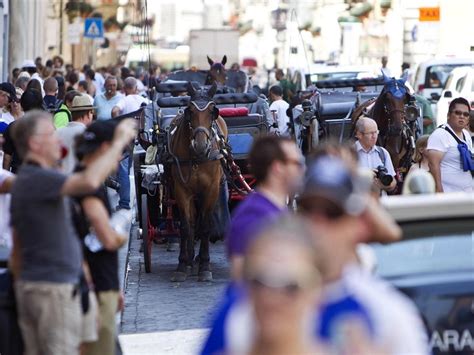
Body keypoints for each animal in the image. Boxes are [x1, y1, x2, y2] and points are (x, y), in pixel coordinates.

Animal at [168, 82, 228, 282]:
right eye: (190, 111)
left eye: (212, 111)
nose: (201, 146)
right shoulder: (181, 191)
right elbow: (186, 227)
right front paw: (181, 265)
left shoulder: (211, 190)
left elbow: (206, 226)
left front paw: (205, 265)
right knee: (192, 223)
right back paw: (189, 260)